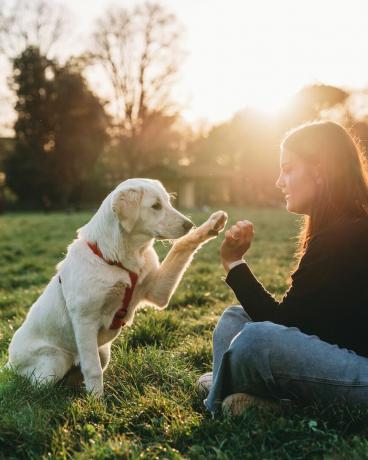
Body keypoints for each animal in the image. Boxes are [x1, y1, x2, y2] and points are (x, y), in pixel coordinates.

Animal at [5, 179, 227, 396]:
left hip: (102, 352)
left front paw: (211, 225)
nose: (189, 224)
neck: (120, 259)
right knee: (36, 386)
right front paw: (96, 403)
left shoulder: (158, 292)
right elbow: (92, 369)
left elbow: (181, 246)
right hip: (54, 363)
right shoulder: (85, 320)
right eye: (156, 206)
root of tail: (8, 363)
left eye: (169, 202)